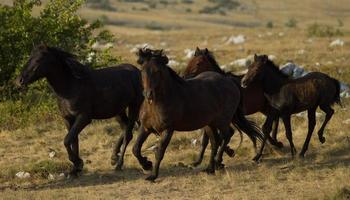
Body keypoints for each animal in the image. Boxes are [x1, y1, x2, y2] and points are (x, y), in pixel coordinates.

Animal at [15, 44, 144, 176]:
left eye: (38, 60)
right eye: (30, 57)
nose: (20, 80)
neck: (71, 87)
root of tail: (137, 72)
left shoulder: (83, 118)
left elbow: (67, 140)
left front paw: (78, 162)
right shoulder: (68, 119)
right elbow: (73, 140)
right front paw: (75, 169)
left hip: (134, 106)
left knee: (128, 134)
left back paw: (119, 164)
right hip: (118, 111)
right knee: (125, 128)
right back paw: (113, 157)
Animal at [133, 48, 262, 181]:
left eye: (157, 71)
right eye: (142, 70)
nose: (148, 94)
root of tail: (229, 81)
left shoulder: (167, 130)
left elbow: (159, 152)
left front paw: (152, 175)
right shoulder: (145, 127)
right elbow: (136, 149)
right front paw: (146, 165)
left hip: (222, 121)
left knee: (227, 135)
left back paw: (217, 162)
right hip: (210, 124)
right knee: (215, 141)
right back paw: (210, 168)